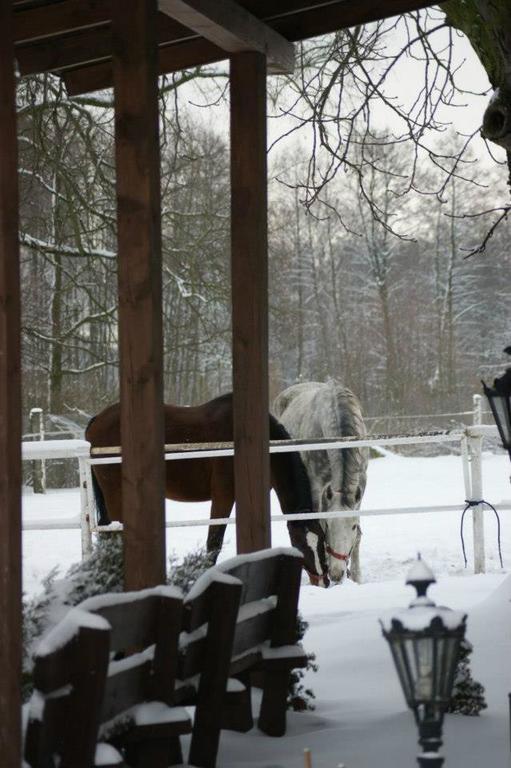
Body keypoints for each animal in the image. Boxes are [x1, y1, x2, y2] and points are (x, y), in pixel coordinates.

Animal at [86, 392, 330, 584]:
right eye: (300, 542)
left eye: (322, 539)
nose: (323, 579)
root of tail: (98, 420)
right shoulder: (223, 496)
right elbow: (214, 543)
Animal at [276, 380, 368, 584]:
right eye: (328, 525)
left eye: (352, 526)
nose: (337, 573)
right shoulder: (316, 488)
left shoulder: (361, 485)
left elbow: (358, 536)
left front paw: (357, 577)